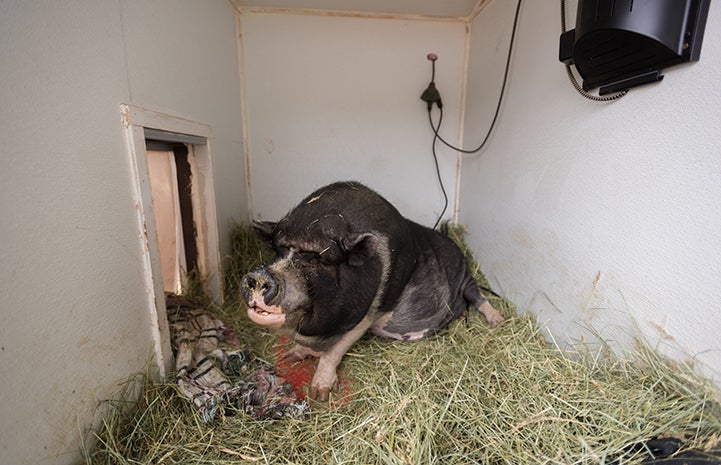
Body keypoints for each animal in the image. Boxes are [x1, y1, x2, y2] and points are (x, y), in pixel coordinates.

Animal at [240, 181, 504, 401]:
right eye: (279, 252)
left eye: (318, 259)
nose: (259, 276)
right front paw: (290, 357)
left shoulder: (369, 313)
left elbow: (334, 352)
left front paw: (320, 394)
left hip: (464, 276)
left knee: (478, 296)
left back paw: (497, 321)